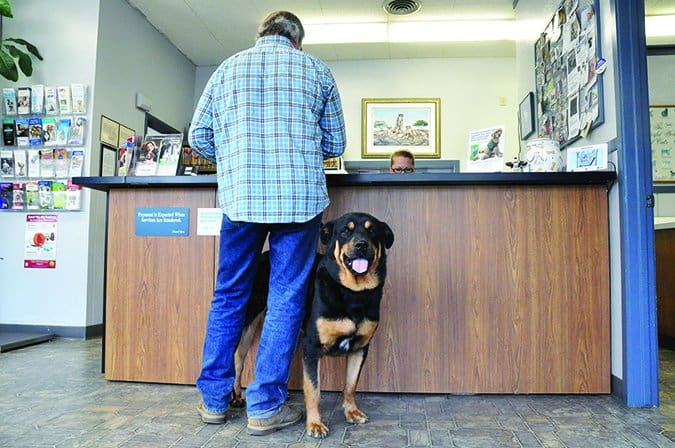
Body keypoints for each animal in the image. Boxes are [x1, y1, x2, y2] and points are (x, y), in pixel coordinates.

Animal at [231, 213, 394, 438]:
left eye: (372, 231)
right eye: (345, 231)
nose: (361, 244)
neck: (353, 292)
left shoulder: (360, 348)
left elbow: (351, 385)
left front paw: (351, 412)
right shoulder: (311, 347)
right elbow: (313, 389)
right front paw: (315, 424)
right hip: (249, 320)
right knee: (238, 359)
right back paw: (237, 396)